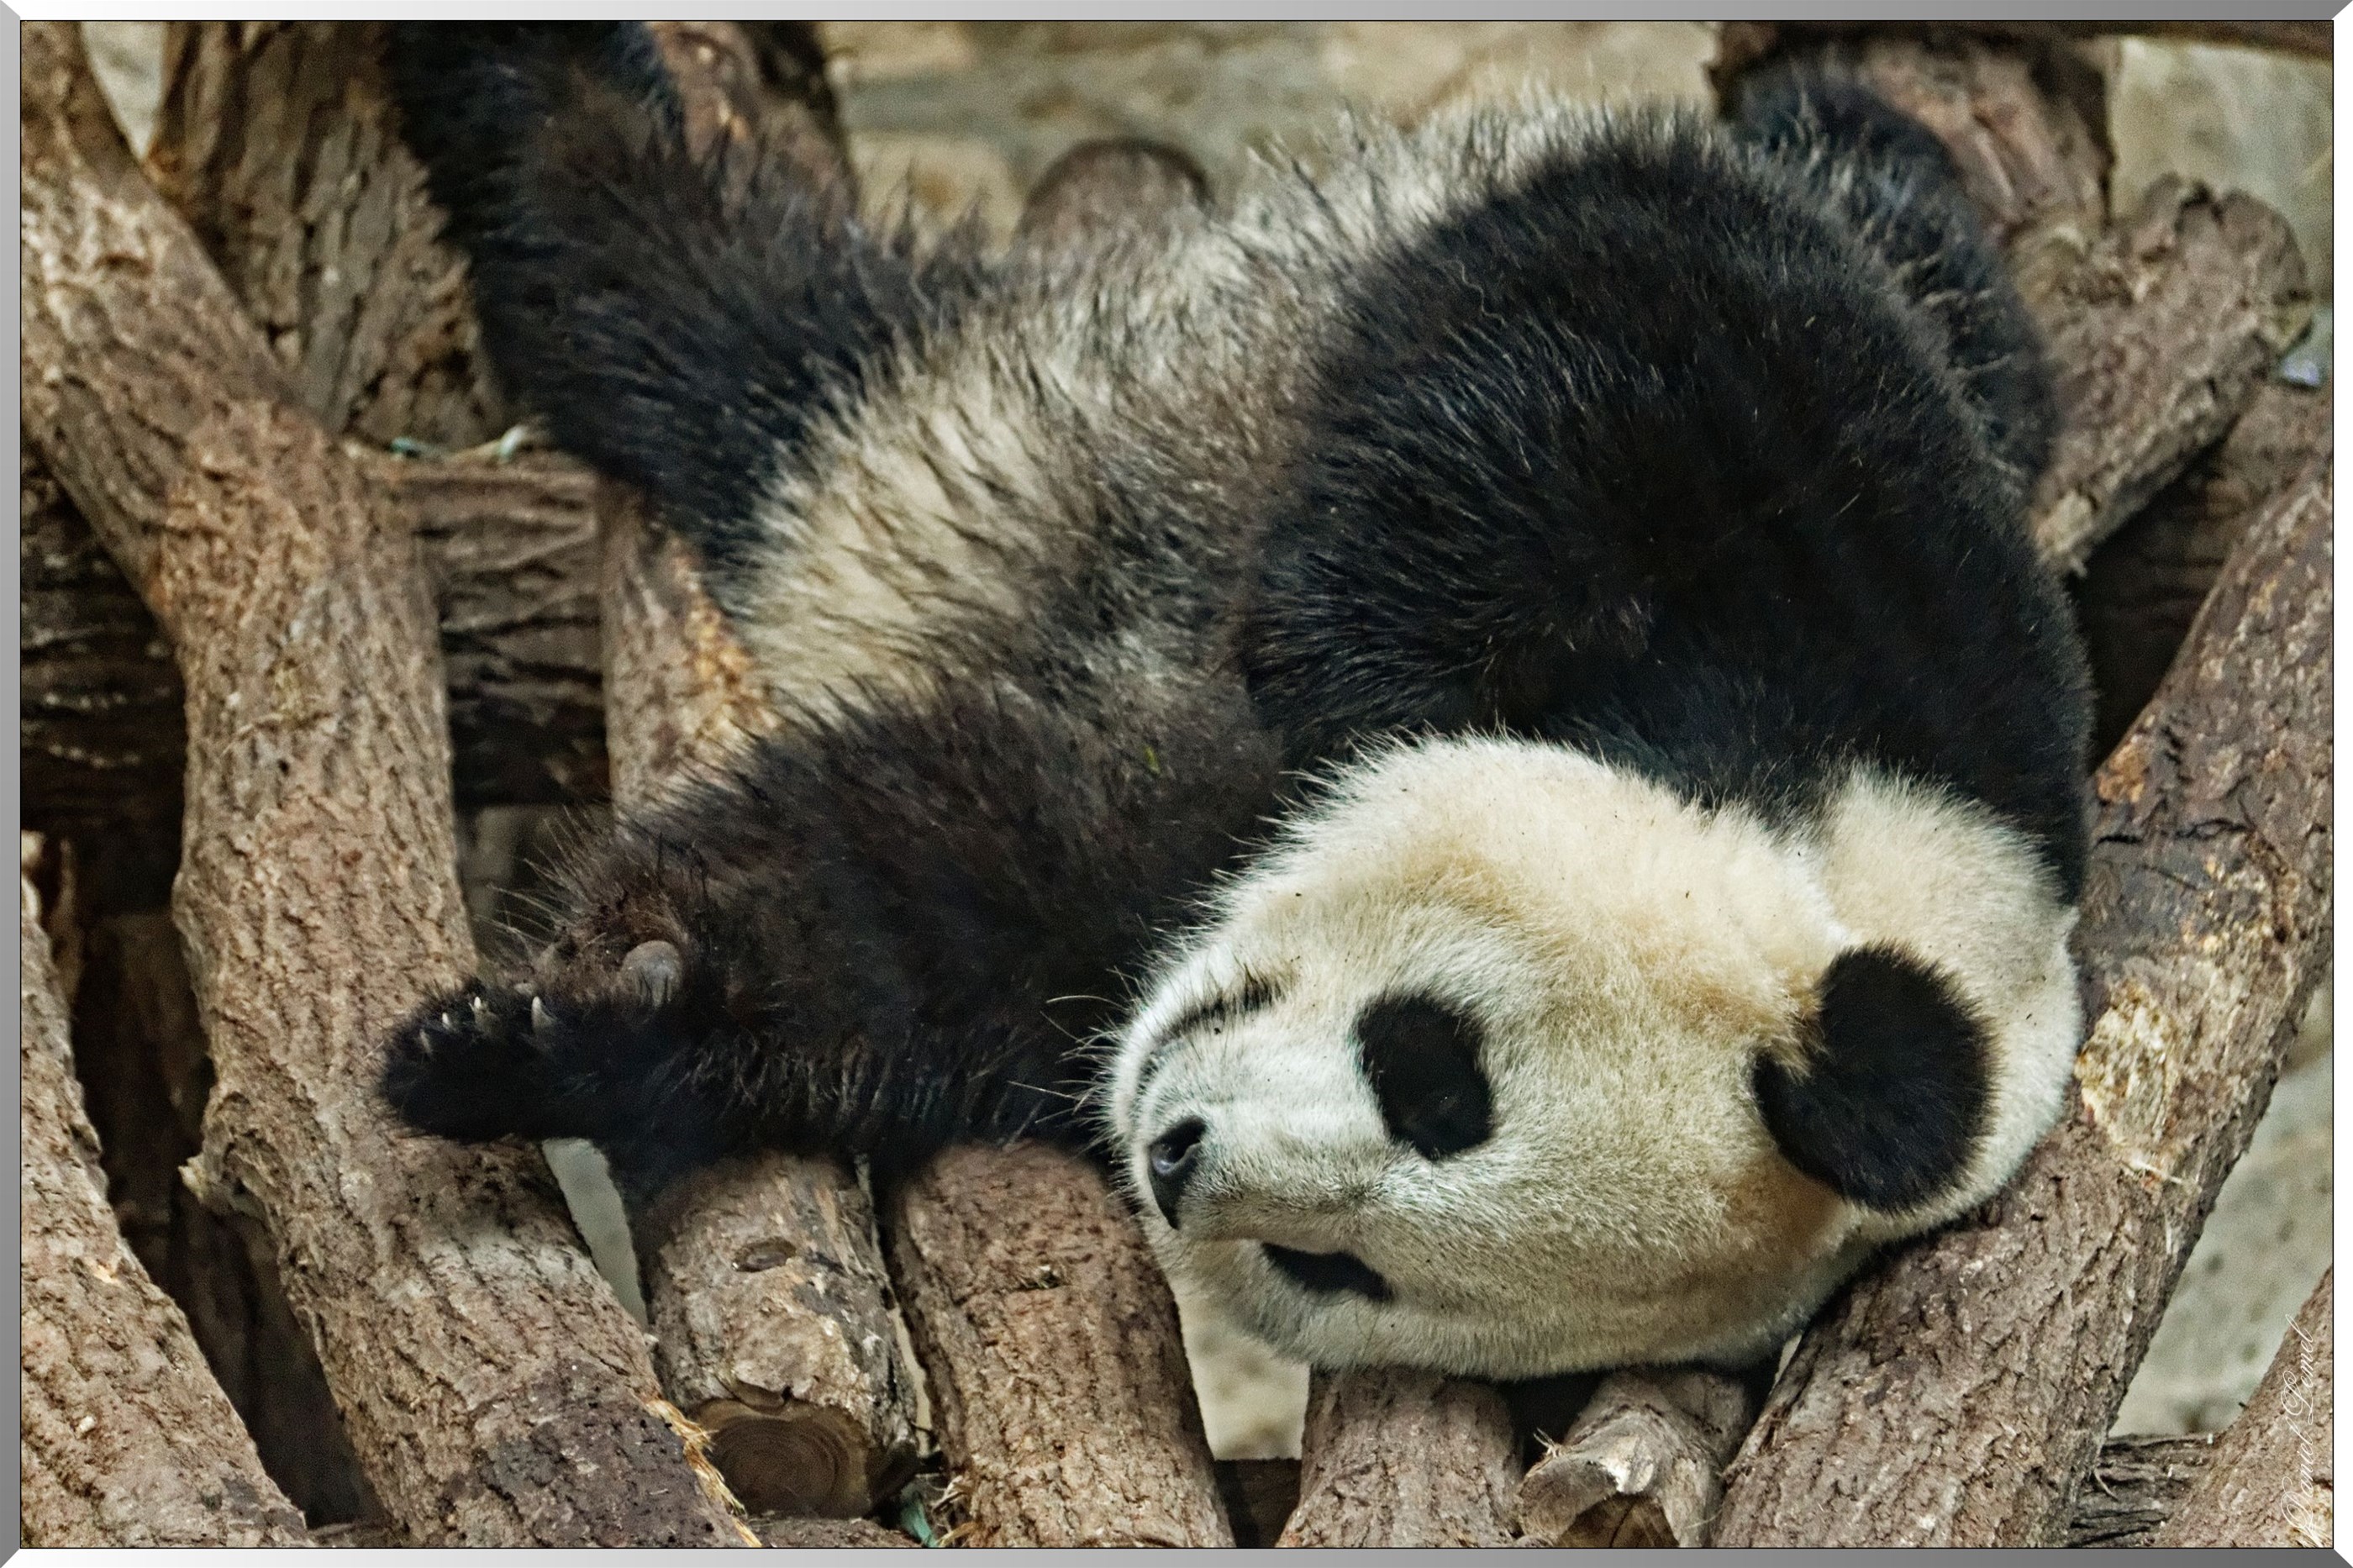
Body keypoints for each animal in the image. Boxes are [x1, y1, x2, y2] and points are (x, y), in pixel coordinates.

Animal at [381, 22, 2091, 1382]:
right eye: (1432, 1073)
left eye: (1342, 1267)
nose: (1177, 1153)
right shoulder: (1888, 599)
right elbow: (1619, 320)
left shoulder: (1095, 939)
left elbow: (912, 911)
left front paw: (579, 1020)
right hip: (1052, 405)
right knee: (695, 288)